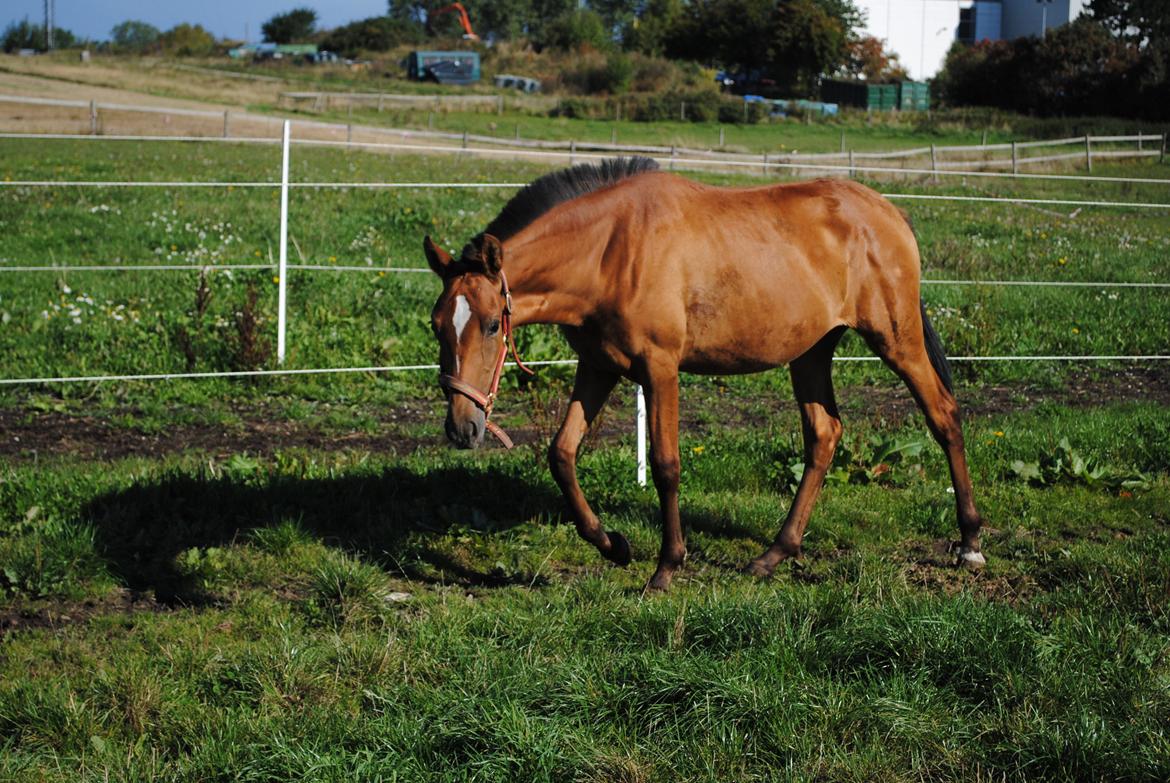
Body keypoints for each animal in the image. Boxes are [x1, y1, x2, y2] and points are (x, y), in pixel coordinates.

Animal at [425, 156, 982, 585]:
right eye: (436, 324)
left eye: (492, 325)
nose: (462, 427)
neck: (610, 251)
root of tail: (890, 212)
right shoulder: (598, 366)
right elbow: (562, 454)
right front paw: (613, 544)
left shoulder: (661, 369)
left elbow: (667, 465)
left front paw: (667, 567)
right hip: (811, 352)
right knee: (824, 435)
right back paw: (773, 555)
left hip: (896, 339)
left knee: (943, 415)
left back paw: (970, 540)